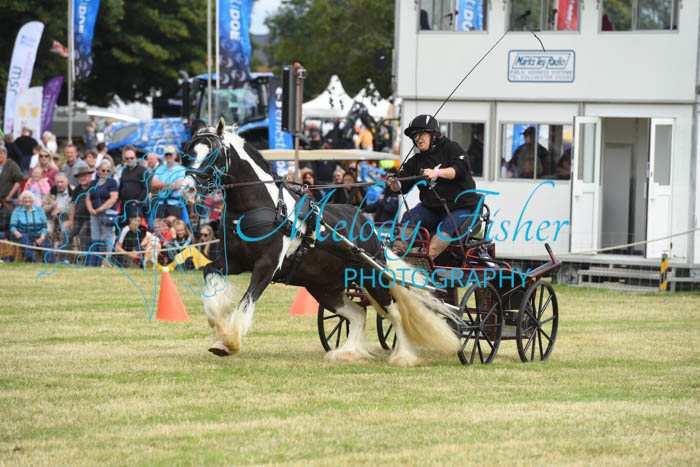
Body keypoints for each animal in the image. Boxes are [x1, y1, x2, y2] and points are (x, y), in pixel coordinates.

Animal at [182, 119, 460, 367]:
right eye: (188, 153)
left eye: (212, 154)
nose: (186, 189)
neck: (263, 205)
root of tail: (370, 229)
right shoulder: (233, 261)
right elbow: (210, 275)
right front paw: (217, 326)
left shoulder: (266, 266)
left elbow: (246, 302)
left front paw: (228, 342)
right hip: (323, 286)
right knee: (359, 314)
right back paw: (347, 353)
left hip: (371, 277)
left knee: (396, 314)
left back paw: (404, 356)